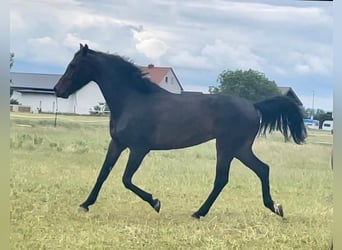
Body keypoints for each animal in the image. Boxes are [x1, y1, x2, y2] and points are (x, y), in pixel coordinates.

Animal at [54, 44, 308, 219]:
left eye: (73, 66)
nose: (58, 90)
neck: (132, 100)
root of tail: (254, 106)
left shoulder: (139, 149)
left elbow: (126, 179)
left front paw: (155, 202)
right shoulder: (117, 144)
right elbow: (103, 174)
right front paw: (85, 204)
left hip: (227, 147)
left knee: (223, 178)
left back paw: (199, 213)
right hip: (240, 149)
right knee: (262, 169)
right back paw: (275, 207)